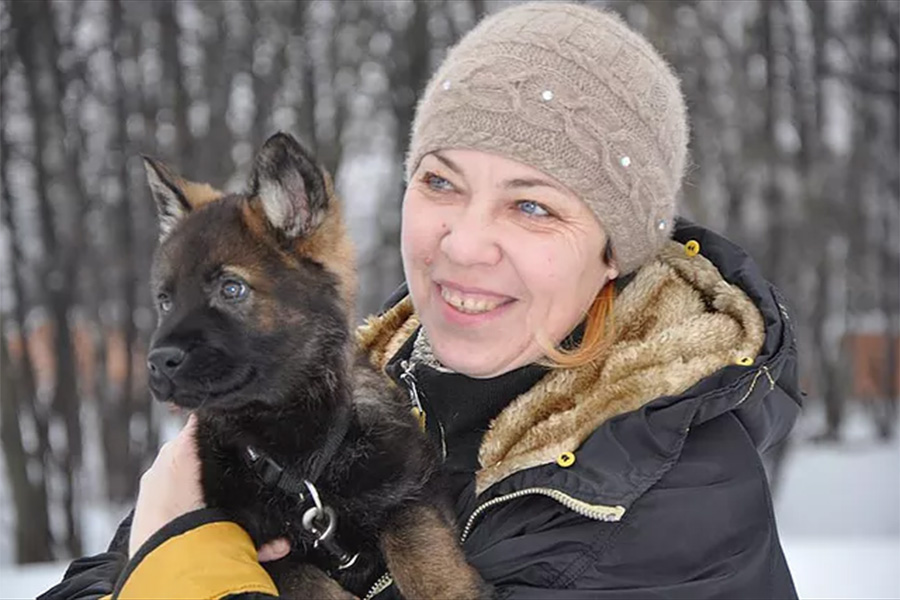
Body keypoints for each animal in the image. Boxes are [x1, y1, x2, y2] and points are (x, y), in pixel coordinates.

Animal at [143, 134, 488, 596]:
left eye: (231, 288)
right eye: (165, 301)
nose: (157, 363)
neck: (296, 455)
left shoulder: (412, 486)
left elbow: (416, 538)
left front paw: (450, 587)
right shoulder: (266, 552)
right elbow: (307, 582)